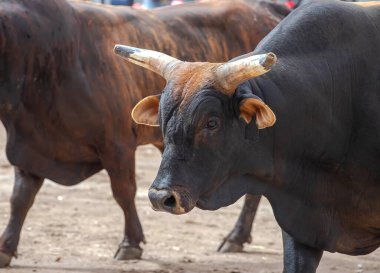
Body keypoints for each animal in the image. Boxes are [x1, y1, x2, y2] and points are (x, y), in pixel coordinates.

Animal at [0, 0, 288, 266]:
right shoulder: (32, 147)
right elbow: (20, 198)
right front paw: (6, 247)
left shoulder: (116, 145)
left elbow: (123, 192)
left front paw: (131, 243)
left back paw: (235, 236)